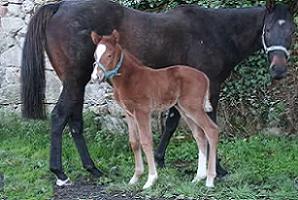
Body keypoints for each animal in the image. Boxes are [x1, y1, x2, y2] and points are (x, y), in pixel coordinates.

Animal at [91, 30, 219, 189]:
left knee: (211, 130)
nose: (95, 77)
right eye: (95, 55)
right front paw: (135, 177)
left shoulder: (142, 111)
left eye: (109, 55)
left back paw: (210, 179)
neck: (129, 78)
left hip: (193, 108)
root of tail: (204, 76)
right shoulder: (129, 113)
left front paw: (151, 179)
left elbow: (146, 141)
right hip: (184, 110)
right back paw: (198, 177)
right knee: (200, 136)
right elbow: (134, 142)